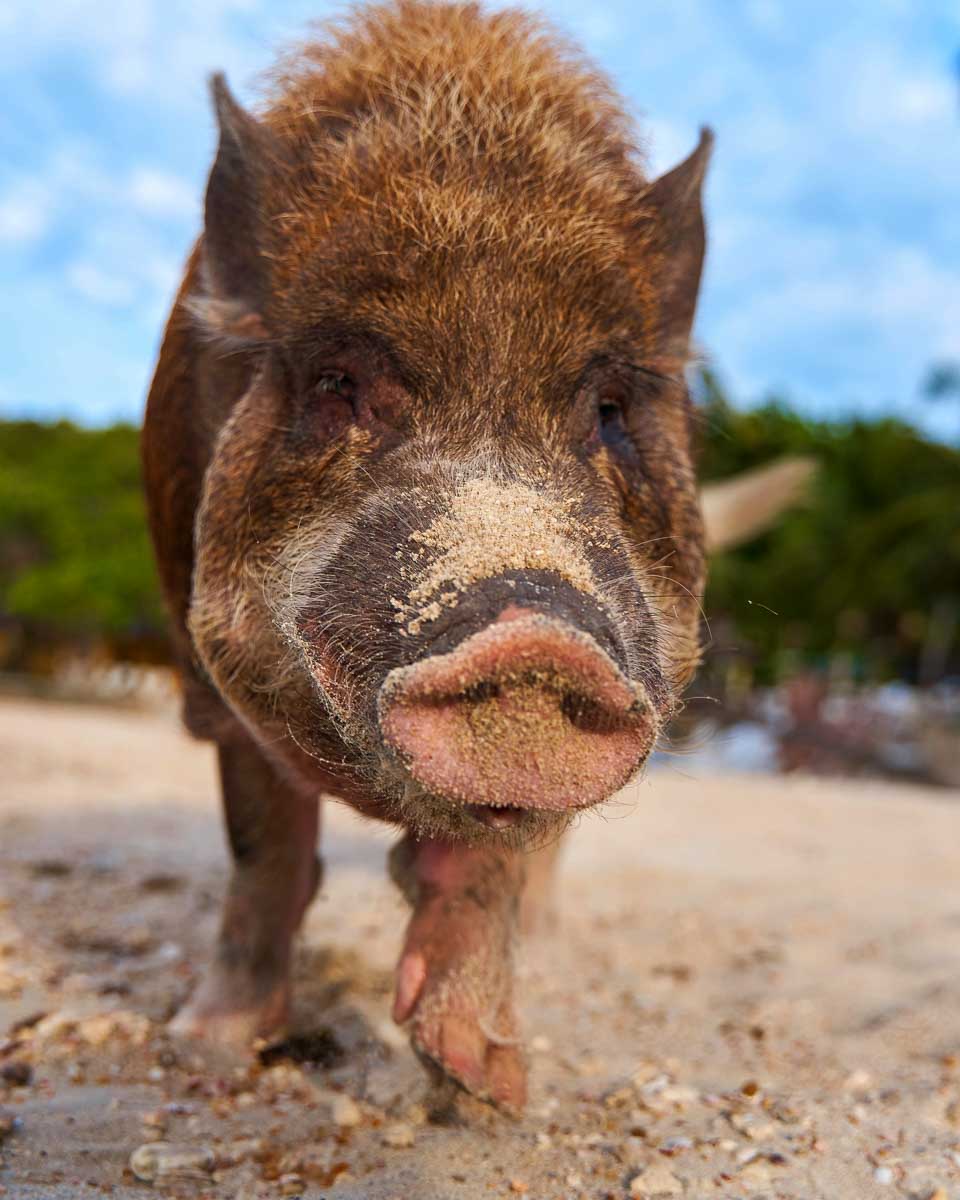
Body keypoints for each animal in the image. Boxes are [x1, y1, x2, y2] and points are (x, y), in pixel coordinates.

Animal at [143, 0, 719, 1112]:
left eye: (610, 409)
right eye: (337, 383)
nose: (534, 635)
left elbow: (494, 853)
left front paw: (490, 1087)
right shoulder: (213, 677)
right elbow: (263, 846)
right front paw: (209, 1051)